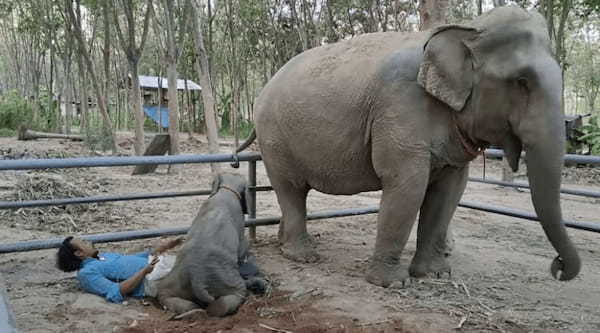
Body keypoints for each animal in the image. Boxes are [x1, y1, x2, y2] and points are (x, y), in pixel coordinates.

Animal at [156, 172, 266, 316]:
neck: (226, 189)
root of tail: (197, 279)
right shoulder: (240, 224)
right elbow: (242, 246)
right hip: (225, 279)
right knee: (235, 295)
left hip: (177, 279)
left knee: (165, 294)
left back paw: (192, 310)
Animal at [237, 5, 580, 286]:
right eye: (522, 82)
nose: (558, 266)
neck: (467, 27)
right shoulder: (400, 106)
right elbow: (407, 186)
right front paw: (391, 283)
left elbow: (449, 192)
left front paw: (435, 276)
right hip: (275, 137)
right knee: (291, 188)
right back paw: (303, 256)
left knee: (294, 193)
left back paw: (285, 245)